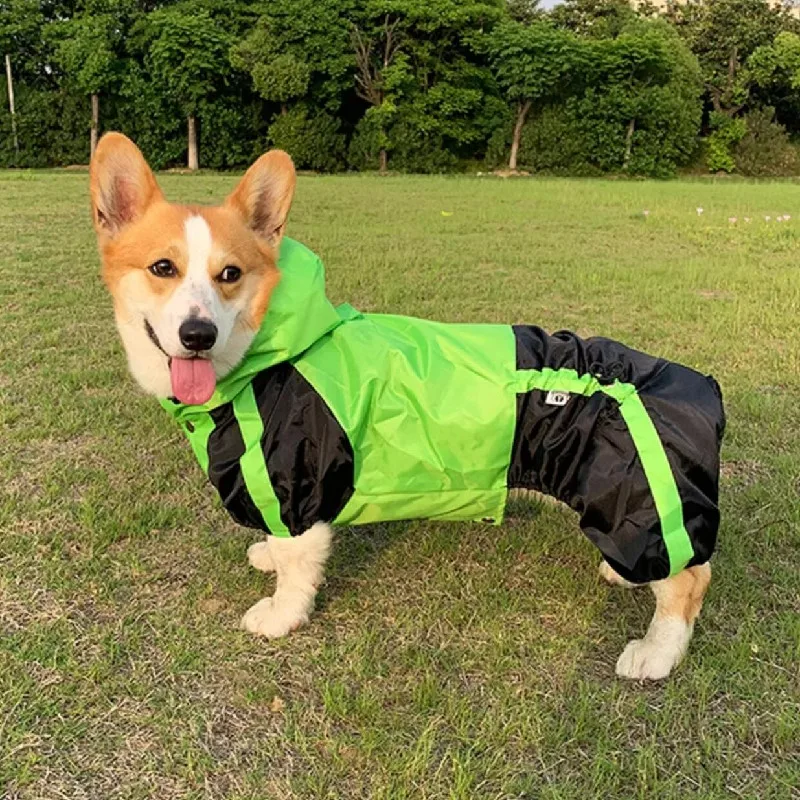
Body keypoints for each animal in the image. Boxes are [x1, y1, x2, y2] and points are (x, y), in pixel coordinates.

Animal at [89, 133, 724, 680]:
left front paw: (279, 617)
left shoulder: (296, 491)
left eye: (230, 274)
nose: (197, 335)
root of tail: (699, 387)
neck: (267, 353)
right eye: (163, 268)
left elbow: (297, 572)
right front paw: (266, 556)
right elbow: (278, 548)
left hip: (639, 500)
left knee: (691, 577)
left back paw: (655, 654)